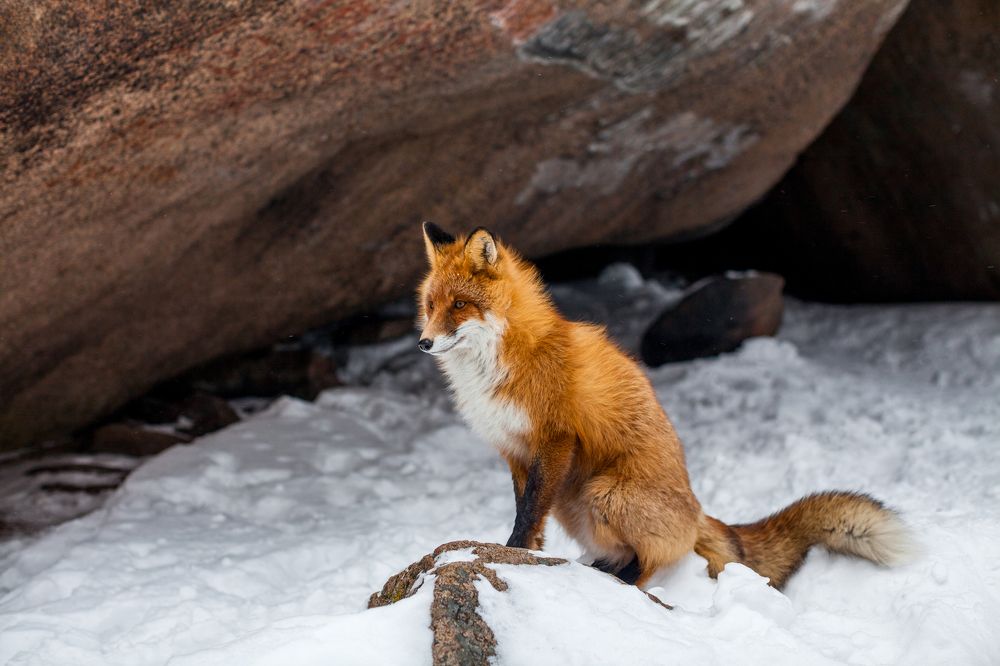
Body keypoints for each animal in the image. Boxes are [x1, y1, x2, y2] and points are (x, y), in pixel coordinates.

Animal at [416, 222, 913, 589]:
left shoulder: (554, 439)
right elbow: (528, 510)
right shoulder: (514, 448)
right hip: (574, 504)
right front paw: (524, 551)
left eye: (459, 305)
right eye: (431, 304)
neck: (510, 356)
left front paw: (512, 551)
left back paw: (624, 581)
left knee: (656, 560)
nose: (423, 343)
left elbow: (529, 509)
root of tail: (697, 508)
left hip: (603, 493)